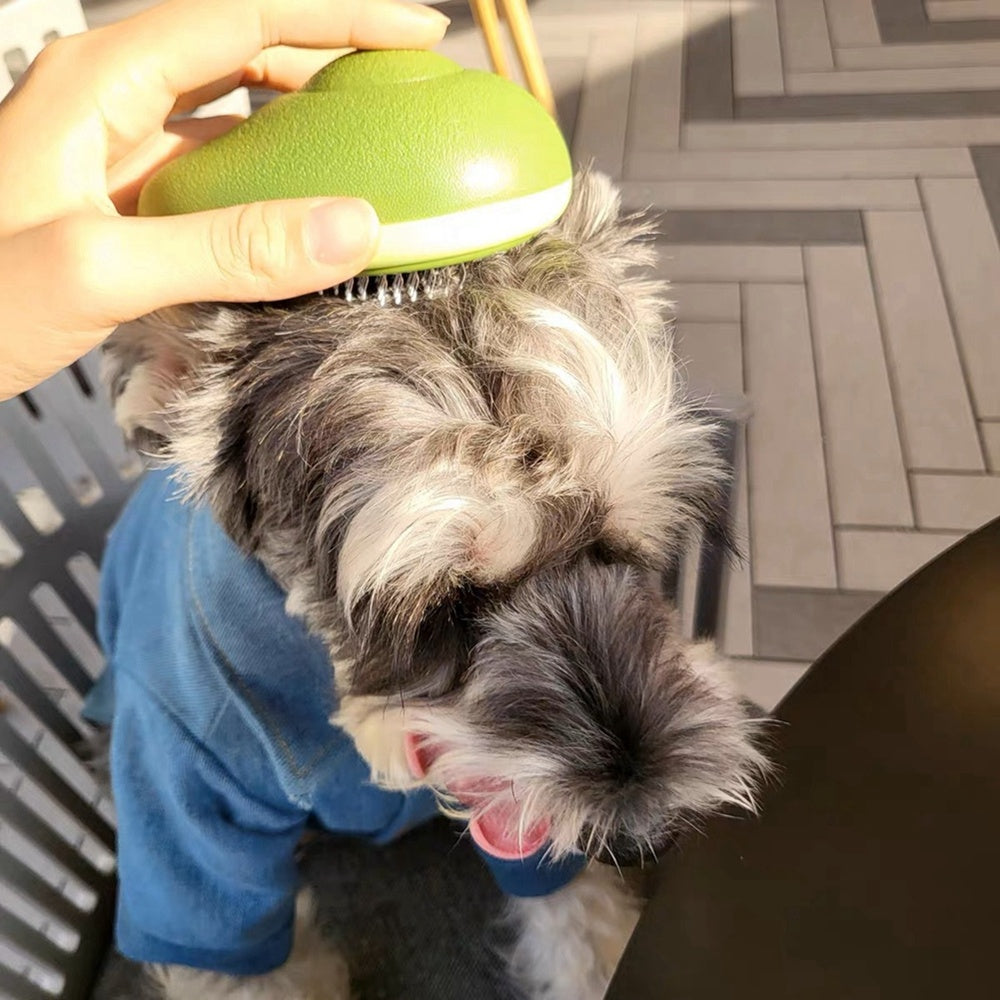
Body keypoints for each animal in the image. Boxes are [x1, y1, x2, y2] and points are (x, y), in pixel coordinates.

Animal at [95, 174, 764, 1000]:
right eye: (446, 609)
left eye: (618, 544)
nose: (646, 836)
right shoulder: (189, 832)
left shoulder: (512, 809)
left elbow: (577, 924)